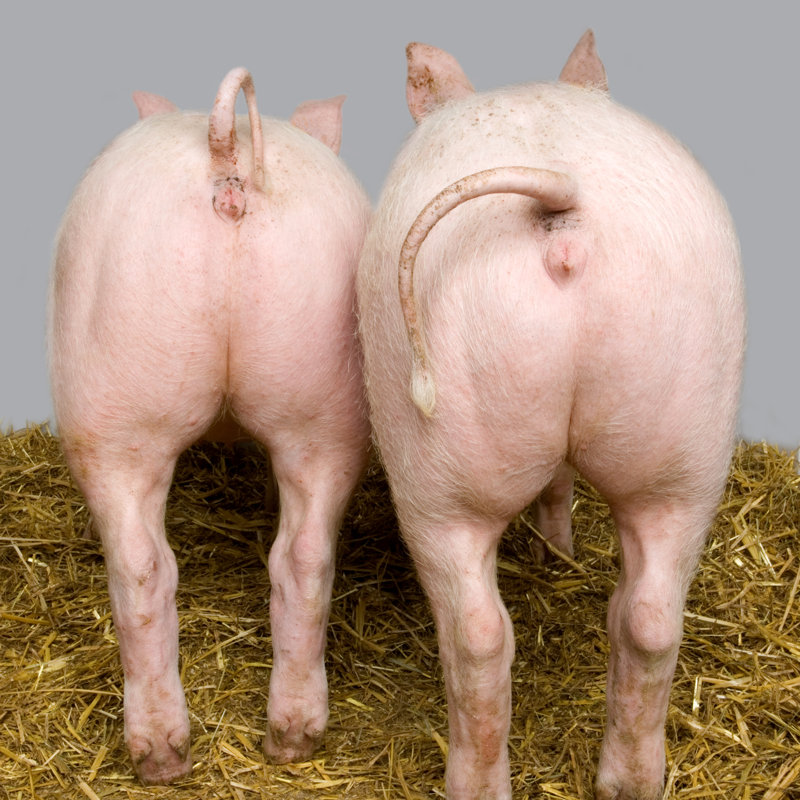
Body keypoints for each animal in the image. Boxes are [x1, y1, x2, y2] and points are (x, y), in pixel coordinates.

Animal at [49, 67, 371, 784]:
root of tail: (227, 161)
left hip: (103, 403)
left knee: (141, 564)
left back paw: (160, 761)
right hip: (322, 402)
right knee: (298, 557)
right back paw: (285, 740)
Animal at [356, 31, 745, 800]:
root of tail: (564, 198)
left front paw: (551, 555)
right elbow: (561, 481)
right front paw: (558, 556)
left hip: (435, 466)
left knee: (478, 635)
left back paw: (472, 785)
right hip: (687, 437)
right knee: (650, 619)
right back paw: (631, 782)